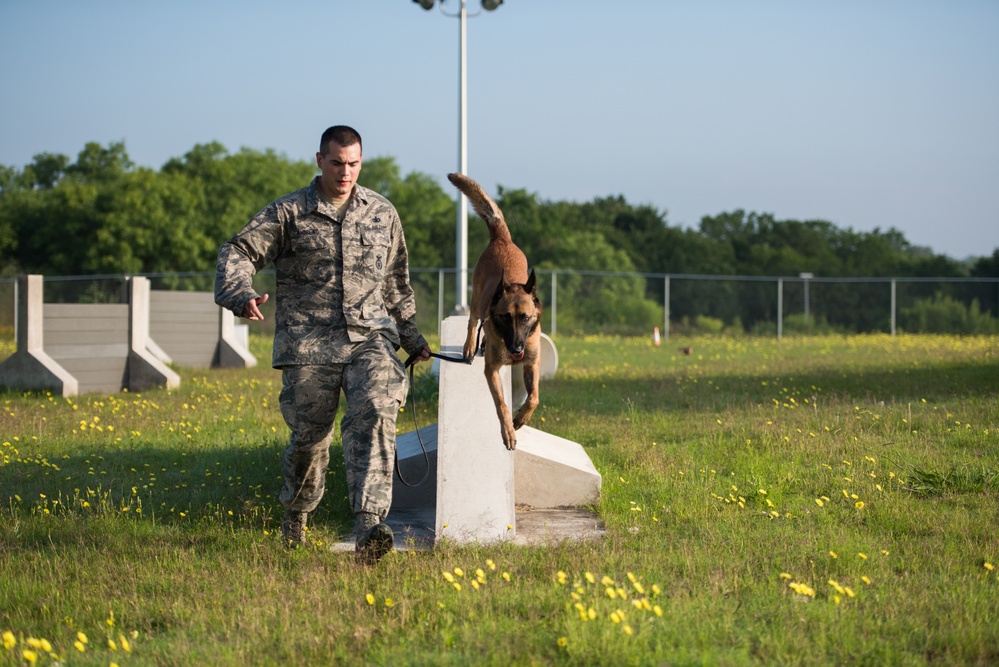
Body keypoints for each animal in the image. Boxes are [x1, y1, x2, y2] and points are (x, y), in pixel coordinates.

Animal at [448, 174, 540, 454]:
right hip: (477, 299)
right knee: (471, 320)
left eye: (525, 318)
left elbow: (534, 397)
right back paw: (469, 345)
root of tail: (502, 240)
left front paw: (521, 419)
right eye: (505, 318)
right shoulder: (492, 371)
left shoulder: (532, 363)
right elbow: (501, 405)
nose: (516, 347)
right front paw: (508, 431)